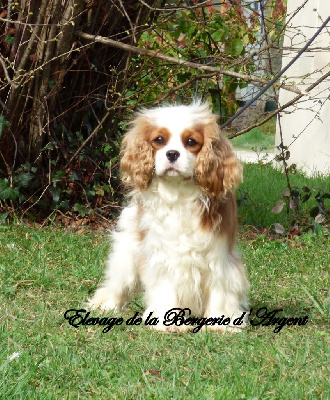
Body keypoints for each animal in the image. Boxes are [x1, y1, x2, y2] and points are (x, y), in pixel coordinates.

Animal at [89, 102, 249, 332]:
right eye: (159, 140)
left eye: (191, 142)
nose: (172, 154)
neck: (179, 192)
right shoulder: (163, 256)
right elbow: (165, 286)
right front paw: (169, 323)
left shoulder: (218, 258)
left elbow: (220, 288)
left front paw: (221, 323)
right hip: (127, 250)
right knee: (117, 282)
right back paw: (105, 304)